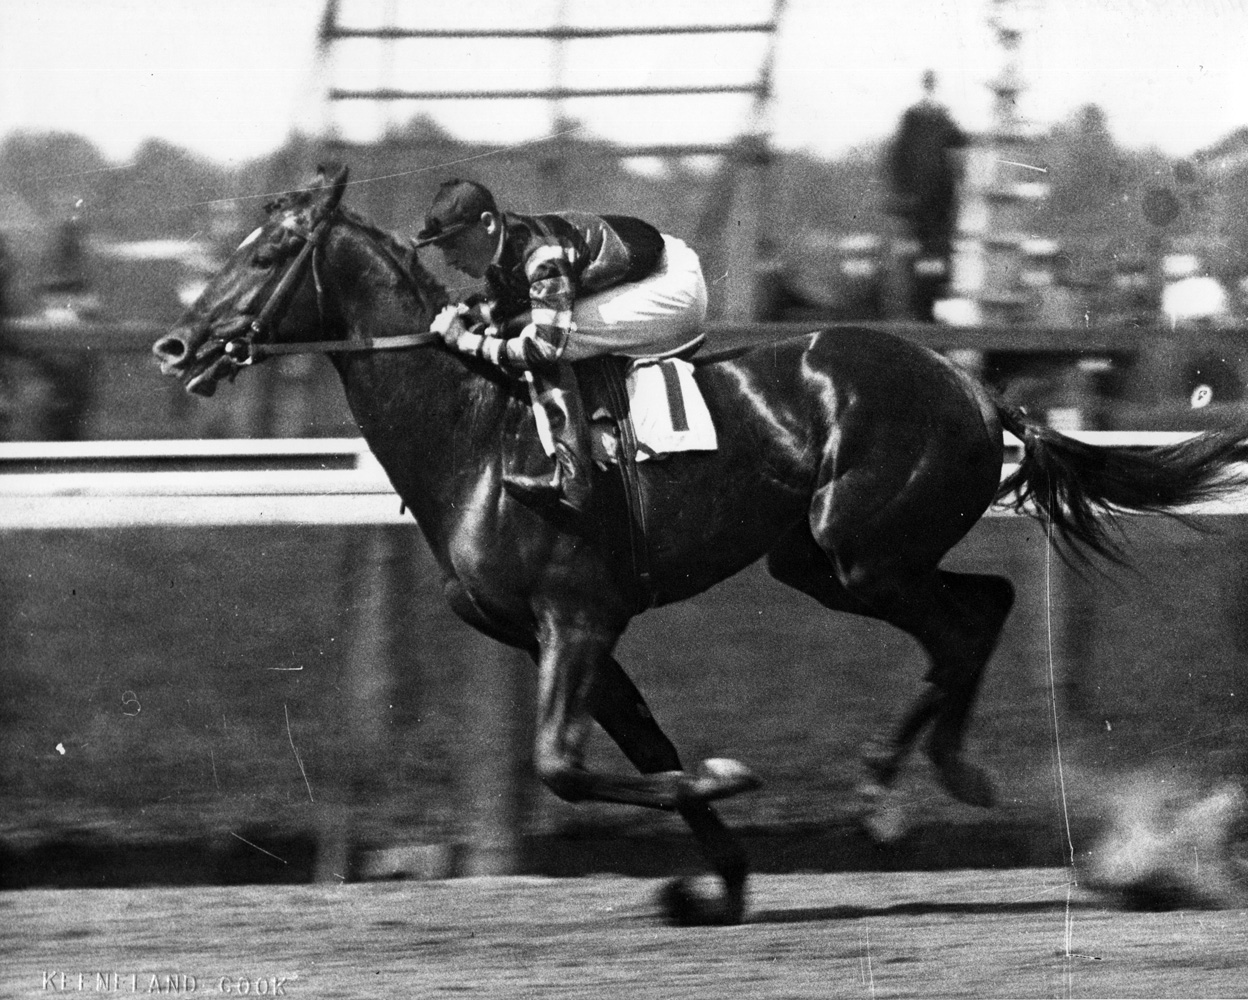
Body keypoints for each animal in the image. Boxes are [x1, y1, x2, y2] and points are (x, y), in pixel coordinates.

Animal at [151, 167, 1248, 923]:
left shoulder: (577, 615)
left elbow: (563, 764)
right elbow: (641, 749)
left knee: (967, 620)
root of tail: (977, 386)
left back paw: (897, 790)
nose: (178, 346)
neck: (477, 426)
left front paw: (729, 784)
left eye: (265, 254)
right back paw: (926, 776)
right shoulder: (556, 632)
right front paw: (717, 882)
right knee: (982, 606)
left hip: (859, 546)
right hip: (821, 560)